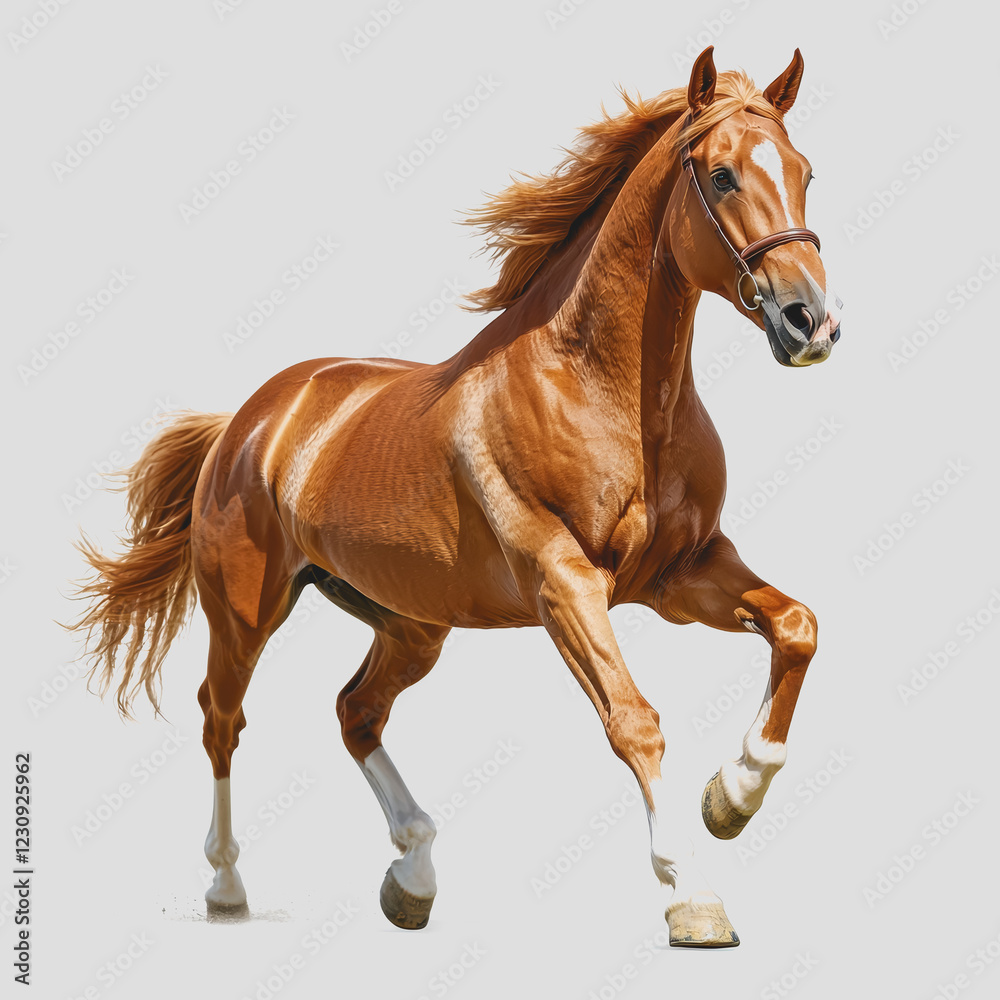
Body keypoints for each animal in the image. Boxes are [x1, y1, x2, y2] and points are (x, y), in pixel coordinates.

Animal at [73, 46, 842, 947]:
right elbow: (634, 719)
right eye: (722, 177)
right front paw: (692, 893)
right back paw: (229, 888)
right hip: (245, 610)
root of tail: (249, 420)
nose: (811, 322)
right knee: (221, 720)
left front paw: (735, 795)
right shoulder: (564, 583)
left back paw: (413, 876)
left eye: (804, 170)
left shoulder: (680, 574)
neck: (602, 393)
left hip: (412, 624)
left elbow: (796, 627)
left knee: (355, 711)